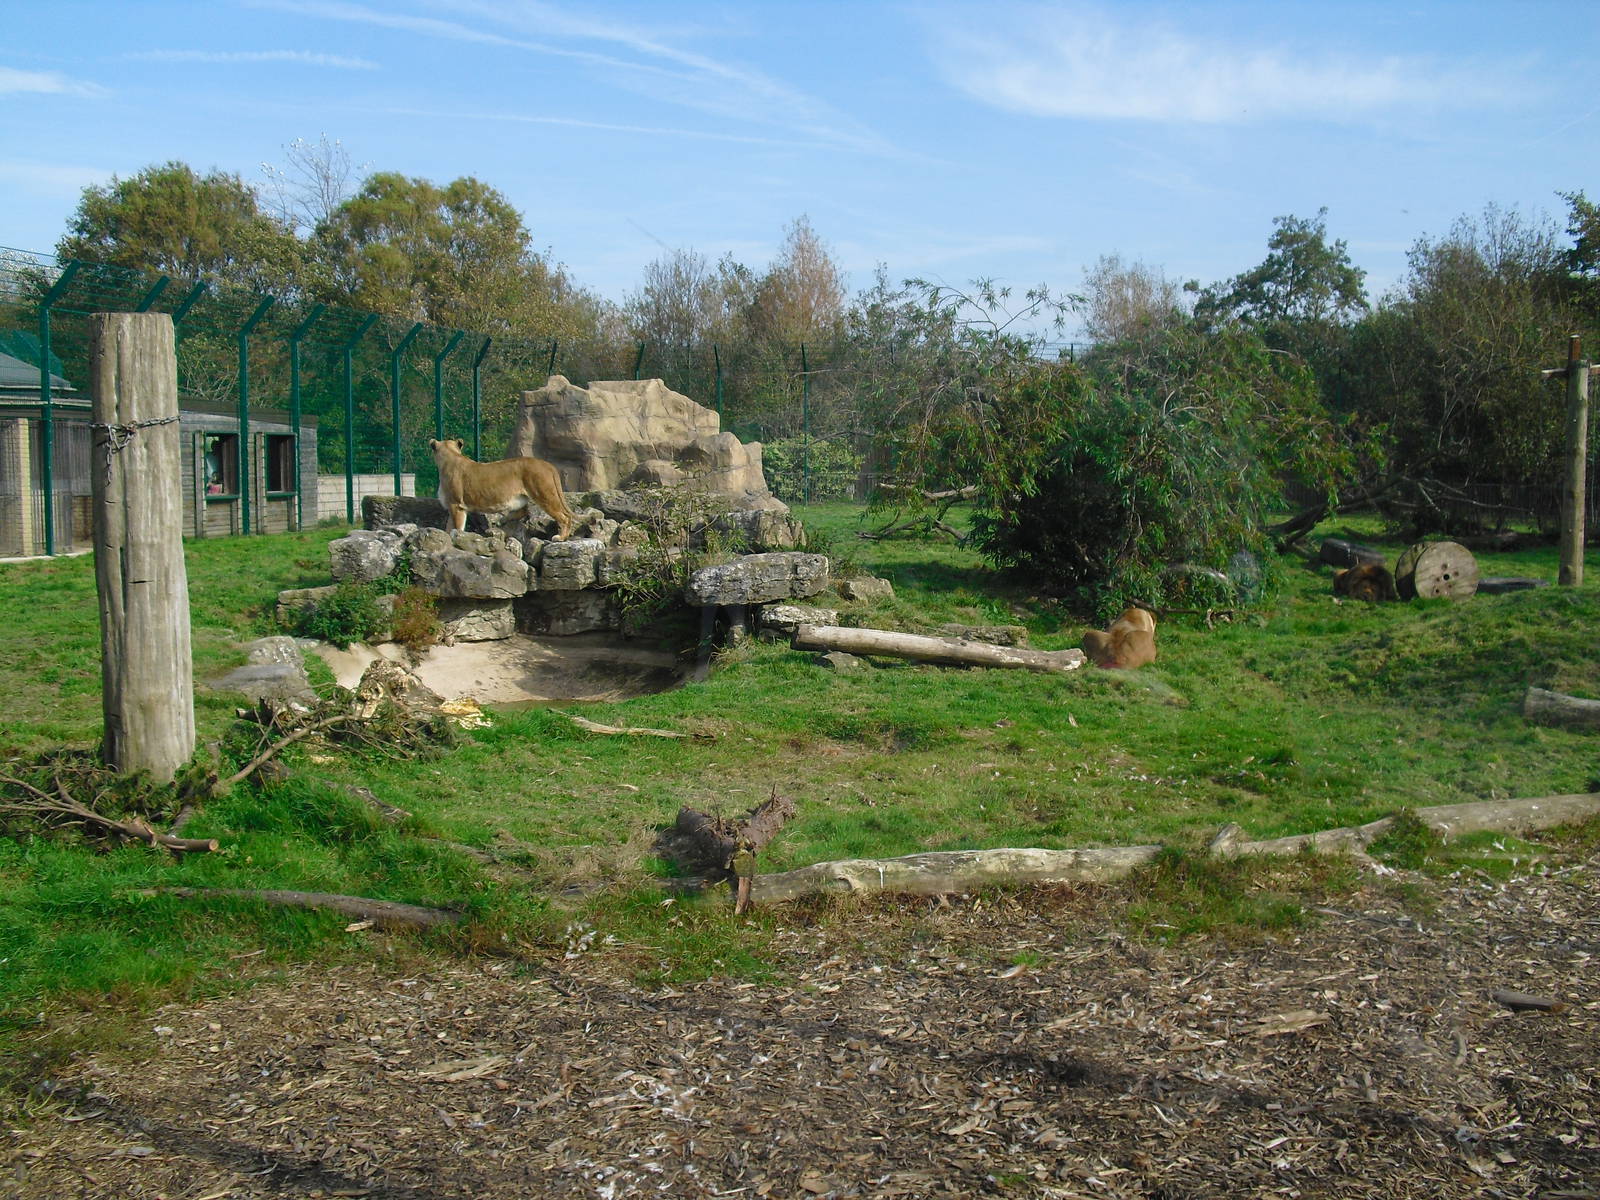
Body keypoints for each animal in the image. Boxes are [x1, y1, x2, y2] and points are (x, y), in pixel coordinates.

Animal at [428, 438, 575, 541]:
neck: (451, 456)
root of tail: (548, 465)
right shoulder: (451, 505)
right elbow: (448, 527)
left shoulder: (456, 504)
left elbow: (457, 527)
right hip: (523, 497)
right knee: (523, 511)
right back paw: (502, 520)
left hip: (544, 494)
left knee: (564, 516)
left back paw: (560, 537)